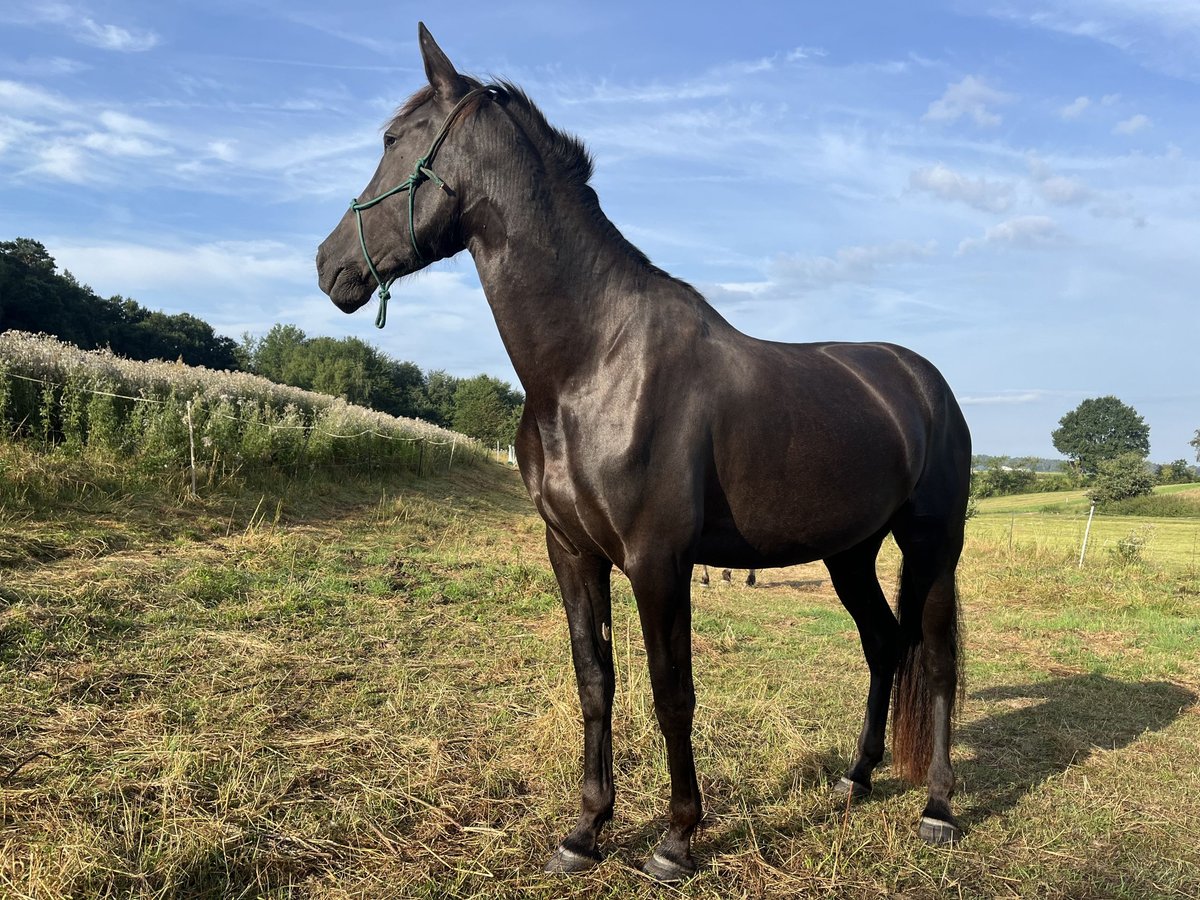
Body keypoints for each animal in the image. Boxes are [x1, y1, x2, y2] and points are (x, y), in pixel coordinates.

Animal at [319, 22, 974, 888]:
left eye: (394, 141)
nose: (330, 266)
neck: (593, 363)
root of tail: (922, 381)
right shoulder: (572, 551)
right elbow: (595, 683)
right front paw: (584, 832)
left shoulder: (658, 561)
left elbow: (672, 694)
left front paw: (676, 839)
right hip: (850, 552)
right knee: (882, 644)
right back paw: (856, 778)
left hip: (930, 544)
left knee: (935, 658)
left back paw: (937, 808)